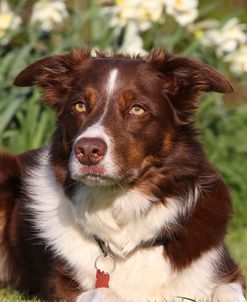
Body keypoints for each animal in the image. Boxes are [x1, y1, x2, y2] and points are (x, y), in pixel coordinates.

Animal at [0, 48, 247, 300]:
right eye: (79, 106)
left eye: (137, 109)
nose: (87, 151)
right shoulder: (61, 287)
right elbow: (105, 293)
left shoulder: (226, 273)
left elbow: (227, 291)